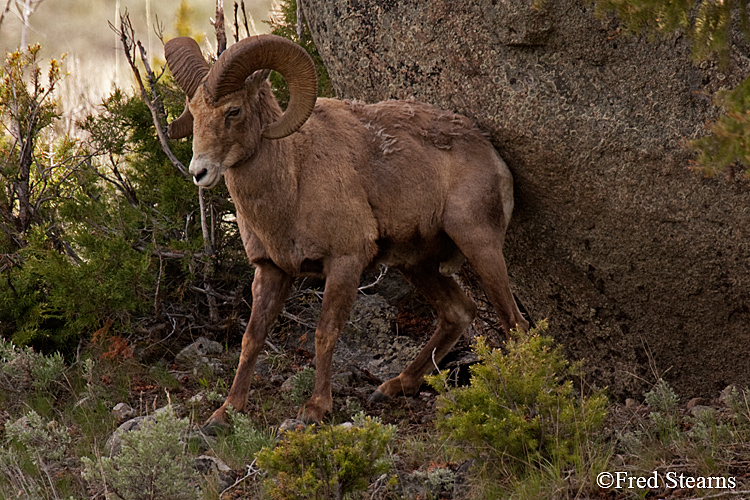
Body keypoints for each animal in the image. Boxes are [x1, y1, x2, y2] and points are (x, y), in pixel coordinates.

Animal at [164, 34, 529, 427]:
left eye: (233, 111)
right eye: (193, 111)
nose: (199, 172)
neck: (293, 178)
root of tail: (493, 156)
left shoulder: (345, 262)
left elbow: (325, 333)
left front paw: (315, 409)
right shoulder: (272, 270)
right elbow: (252, 338)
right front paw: (225, 412)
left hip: (479, 245)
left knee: (514, 324)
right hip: (416, 264)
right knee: (458, 313)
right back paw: (391, 388)